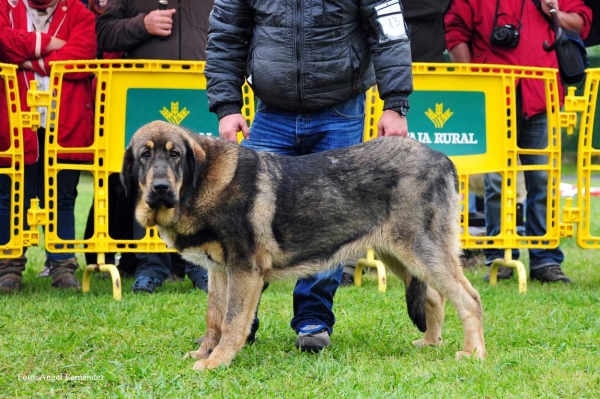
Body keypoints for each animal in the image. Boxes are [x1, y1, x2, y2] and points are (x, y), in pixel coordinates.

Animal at [119, 119, 486, 372]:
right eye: (145, 156)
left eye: (176, 155)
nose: (161, 187)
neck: (202, 182)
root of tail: (444, 159)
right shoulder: (220, 272)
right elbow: (214, 319)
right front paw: (205, 353)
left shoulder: (244, 270)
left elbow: (232, 322)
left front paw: (216, 362)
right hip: (399, 253)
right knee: (435, 297)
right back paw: (430, 342)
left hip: (420, 249)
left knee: (469, 299)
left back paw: (473, 353)